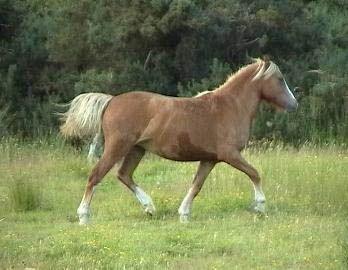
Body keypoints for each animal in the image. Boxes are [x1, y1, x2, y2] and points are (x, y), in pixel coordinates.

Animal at [60, 58, 300, 225]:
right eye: (280, 79)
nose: (294, 105)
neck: (230, 107)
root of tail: (111, 100)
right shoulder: (230, 154)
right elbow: (254, 173)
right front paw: (260, 206)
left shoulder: (210, 159)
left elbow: (196, 185)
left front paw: (184, 214)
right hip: (117, 147)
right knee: (96, 176)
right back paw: (84, 216)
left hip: (136, 150)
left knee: (124, 175)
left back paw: (150, 208)